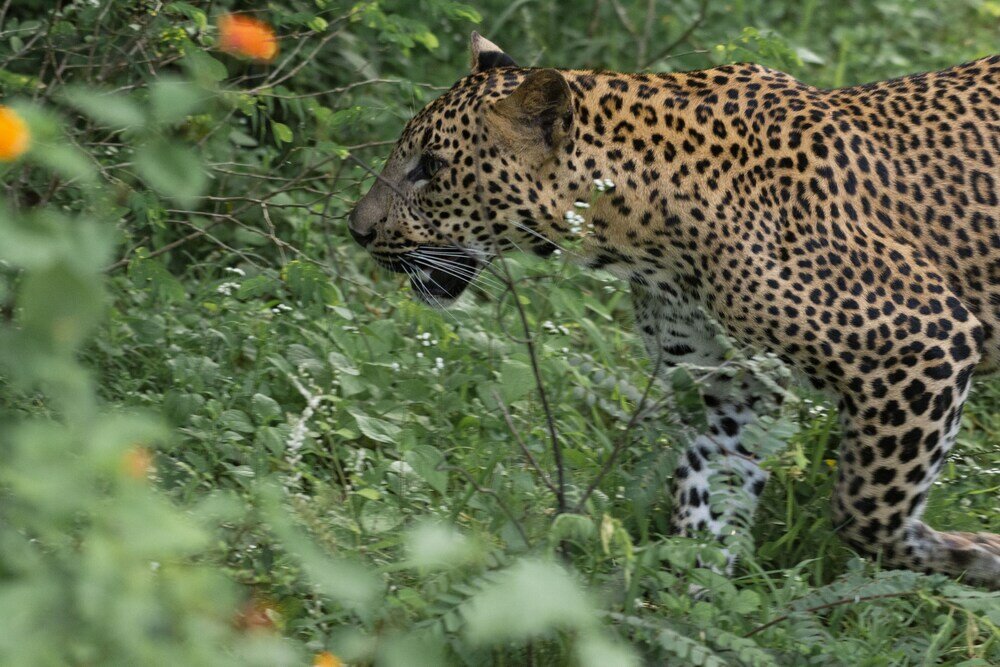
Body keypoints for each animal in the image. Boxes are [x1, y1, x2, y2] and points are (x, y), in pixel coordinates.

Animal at [349, 32, 1000, 589]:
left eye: (431, 167)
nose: (356, 230)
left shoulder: (922, 340)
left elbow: (865, 509)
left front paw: (975, 554)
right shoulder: (728, 385)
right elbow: (707, 489)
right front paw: (690, 603)